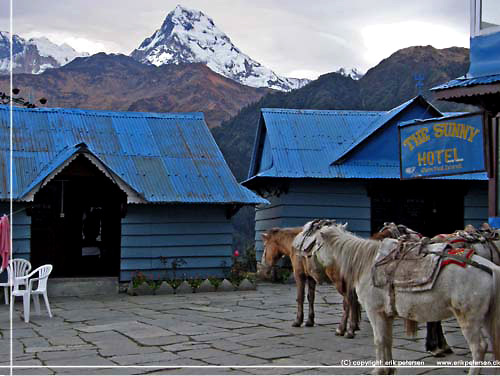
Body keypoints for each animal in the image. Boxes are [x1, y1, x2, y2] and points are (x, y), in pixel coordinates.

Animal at [312, 225, 500, 374]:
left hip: (469, 319)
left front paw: (379, 370)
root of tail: (490, 268)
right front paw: (389, 369)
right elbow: (387, 340)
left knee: (479, 348)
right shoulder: (386, 314)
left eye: (315, 245)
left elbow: (379, 340)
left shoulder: (375, 312)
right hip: (487, 318)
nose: (315, 275)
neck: (366, 263)